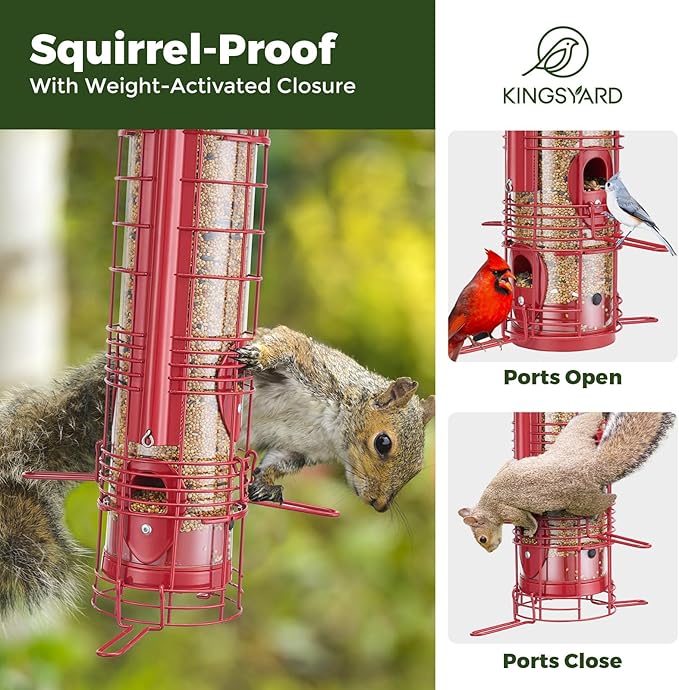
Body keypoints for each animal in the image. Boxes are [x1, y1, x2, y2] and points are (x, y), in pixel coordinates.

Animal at [0, 326, 434, 619]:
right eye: (383, 443)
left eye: (416, 469)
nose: (378, 504)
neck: (332, 432)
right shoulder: (316, 369)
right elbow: (286, 342)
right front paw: (257, 354)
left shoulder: (297, 449)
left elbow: (277, 464)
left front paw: (265, 487)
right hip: (99, 400)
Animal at [458, 412, 675, 553]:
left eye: (482, 539)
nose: (490, 550)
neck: (487, 505)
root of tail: (589, 468)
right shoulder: (507, 466)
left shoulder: (506, 510)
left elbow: (526, 519)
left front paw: (530, 531)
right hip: (574, 436)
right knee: (587, 420)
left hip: (579, 502)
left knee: (604, 500)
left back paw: (605, 505)